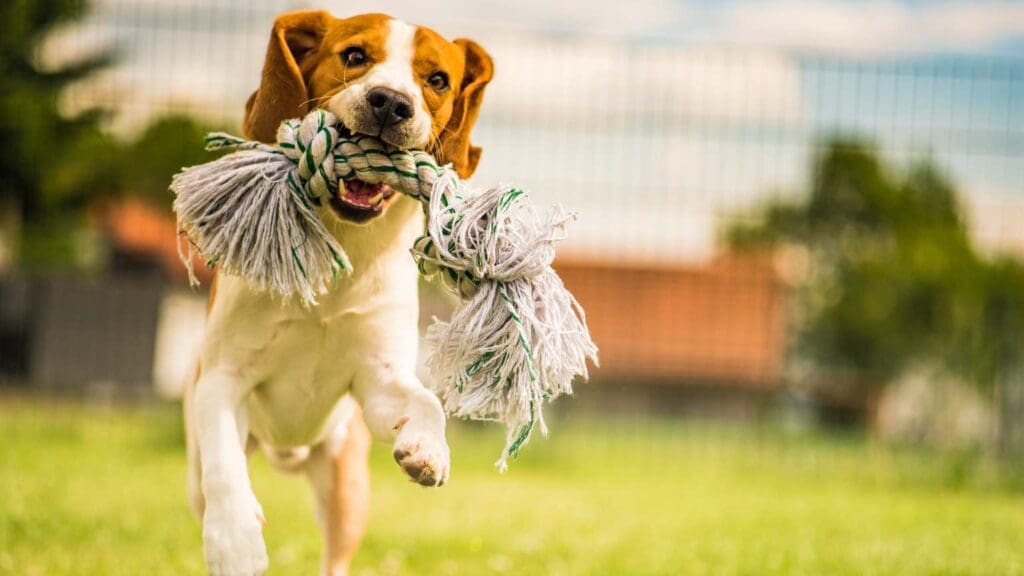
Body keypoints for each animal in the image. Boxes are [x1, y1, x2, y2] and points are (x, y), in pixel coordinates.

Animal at [185, 10, 495, 573]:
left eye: (438, 80)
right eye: (354, 55)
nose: (390, 102)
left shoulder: (377, 380)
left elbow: (425, 400)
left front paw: (429, 449)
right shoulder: (222, 377)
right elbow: (224, 468)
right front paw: (235, 539)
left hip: (346, 486)